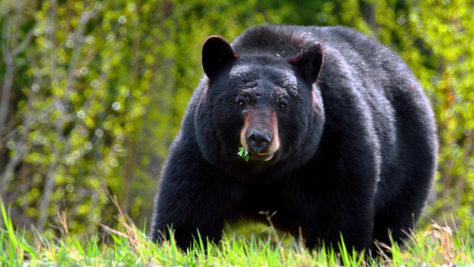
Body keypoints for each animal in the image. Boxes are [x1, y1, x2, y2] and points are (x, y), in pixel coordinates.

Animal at [151, 25, 436, 255]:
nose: (259, 139)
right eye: (241, 101)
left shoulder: (336, 144)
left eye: (283, 104)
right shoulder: (206, 154)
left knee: (390, 228)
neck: (263, 172)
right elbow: (188, 213)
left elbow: (340, 215)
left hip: (410, 163)